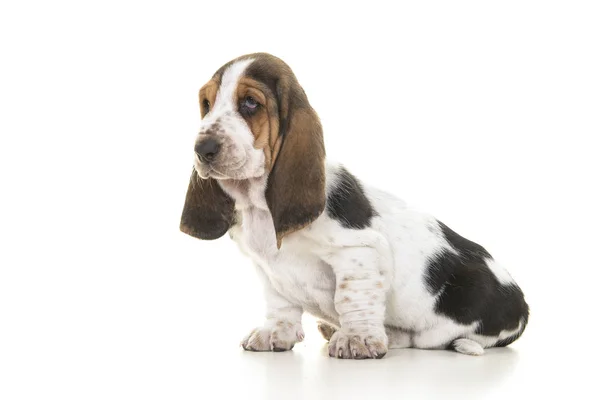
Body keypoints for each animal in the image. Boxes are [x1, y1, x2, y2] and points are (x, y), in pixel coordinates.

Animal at [180, 53, 528, 360]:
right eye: (207, 104)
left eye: (251, 103)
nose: (202, 149)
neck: (258, 204)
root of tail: (523, 308)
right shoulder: (268, 270)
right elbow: (281, 304)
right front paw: (275, 333)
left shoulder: (358, 251)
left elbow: (351, 297)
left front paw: (357, 339)